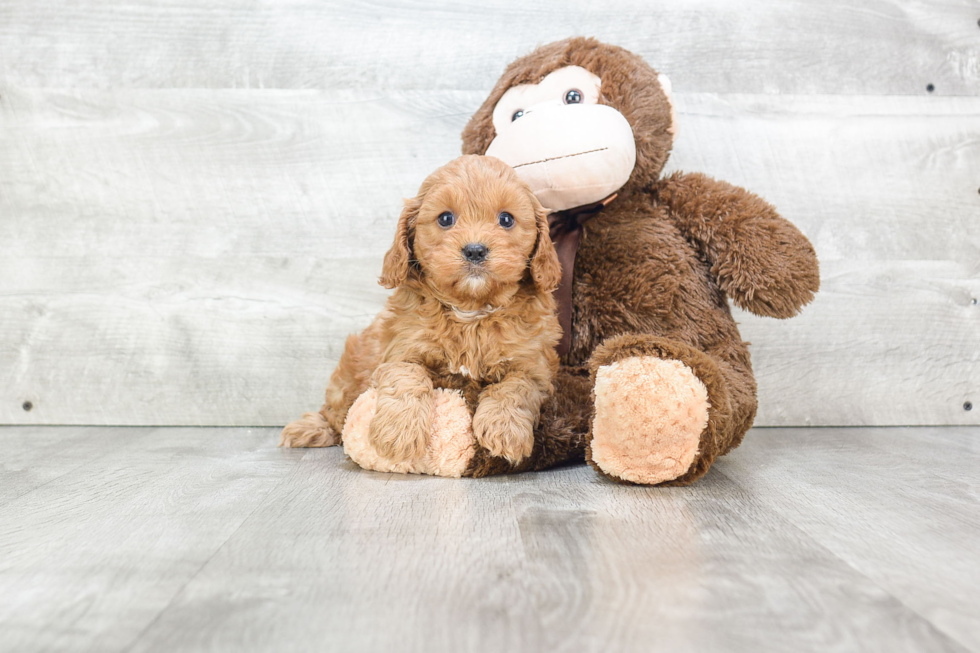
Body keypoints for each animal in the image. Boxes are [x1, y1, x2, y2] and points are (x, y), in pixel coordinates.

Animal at [282, 155, 560, 464]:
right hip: (347, 374)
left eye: (507, 219)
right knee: (334, 411)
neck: (470, 311)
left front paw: (505, 429)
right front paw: (398, 433)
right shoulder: (401, 350)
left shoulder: (534, 367)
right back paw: (312, 428)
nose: (475, 250)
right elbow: (407, 378)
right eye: (446, 218)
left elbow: (514, 388)